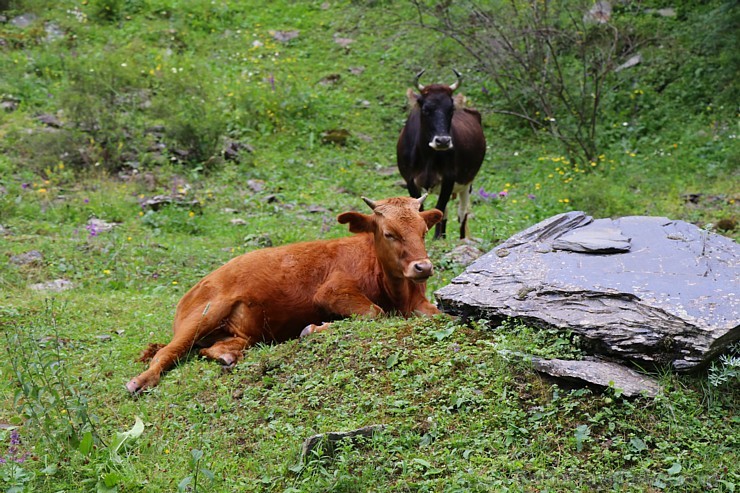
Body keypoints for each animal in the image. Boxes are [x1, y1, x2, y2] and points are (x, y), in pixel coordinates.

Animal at [124, 194, 442, 394]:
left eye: (423, 231)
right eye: (389, 233)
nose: (423, 266)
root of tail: (194, 288)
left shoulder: (418, 302)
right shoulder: (331, 291)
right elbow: (375, 313)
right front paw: (314, 328)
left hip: (243, 333)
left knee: (209, 348)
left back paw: (226, 356)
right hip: (204, 314)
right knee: (167, 351)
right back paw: (141, 381)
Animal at [396, 69, 488, 238]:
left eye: (450, 110)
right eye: (426, 109)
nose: (443, 141)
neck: (427, 157)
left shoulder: (449, 178)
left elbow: (439, 208)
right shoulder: (410, 180)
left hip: (467, 183)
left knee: (462, 213)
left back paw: (461, 238)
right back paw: (440, 236)